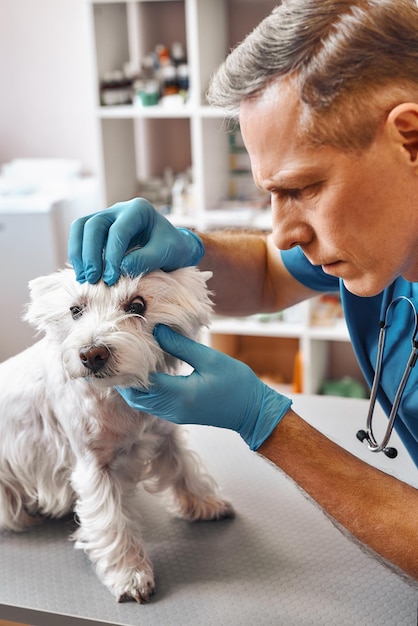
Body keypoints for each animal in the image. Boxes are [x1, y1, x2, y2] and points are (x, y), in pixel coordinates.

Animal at [0, 266, 233, 600]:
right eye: (75, 310)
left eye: (137, 305)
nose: (91, 354)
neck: (115, 394)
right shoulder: (95, 467)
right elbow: (112, 519)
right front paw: (131, 575)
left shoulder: (163, 433)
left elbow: (185, 468)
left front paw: (206, 504)